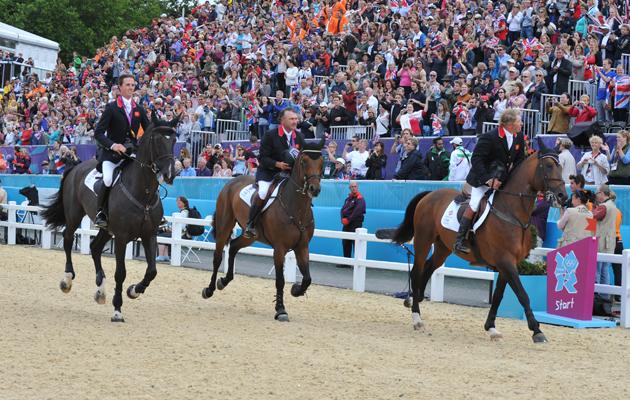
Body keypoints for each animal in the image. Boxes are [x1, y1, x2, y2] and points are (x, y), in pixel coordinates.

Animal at [40, 111, 178, 322]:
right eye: (157, 139)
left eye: (175, 140)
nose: (170, 174)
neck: (144, 192)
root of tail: (75, 167)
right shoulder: (121, 237)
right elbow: (120, 272)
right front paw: (117, 310)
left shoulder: (149, 235)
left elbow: (152, 271)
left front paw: (133, 290)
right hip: (74, 216)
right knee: (68, 239)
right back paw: (68, 280)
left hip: (107, 229)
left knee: (95, 248)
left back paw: (100, 290)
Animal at [202, 136, 328, 320]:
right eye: (304, 161)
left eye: (322, 161)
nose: (315, 189)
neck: (296, 207)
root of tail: (232, 181)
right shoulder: (280, 248)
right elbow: (280, 280)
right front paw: (281, 310)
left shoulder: (302, 247)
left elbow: (307, 278)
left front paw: (296, 289)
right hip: (224, 225)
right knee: (218, 257)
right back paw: (209, 289)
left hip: (250, 236)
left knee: (233, 246)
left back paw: (224, 281)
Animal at [378, 142, 572, 342]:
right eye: (548, 165)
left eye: (561, 167)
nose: (562, 196)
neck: (512, 214)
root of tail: (430, 194)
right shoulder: (505, 261)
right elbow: (522, 294)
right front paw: (537, 331)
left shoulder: (509, 264)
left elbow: (499, 295)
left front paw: (492, 328)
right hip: (423, 241)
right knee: (416, 273)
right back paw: (417, 318)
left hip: (443, 248)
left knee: (428, 269)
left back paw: (413, 300)